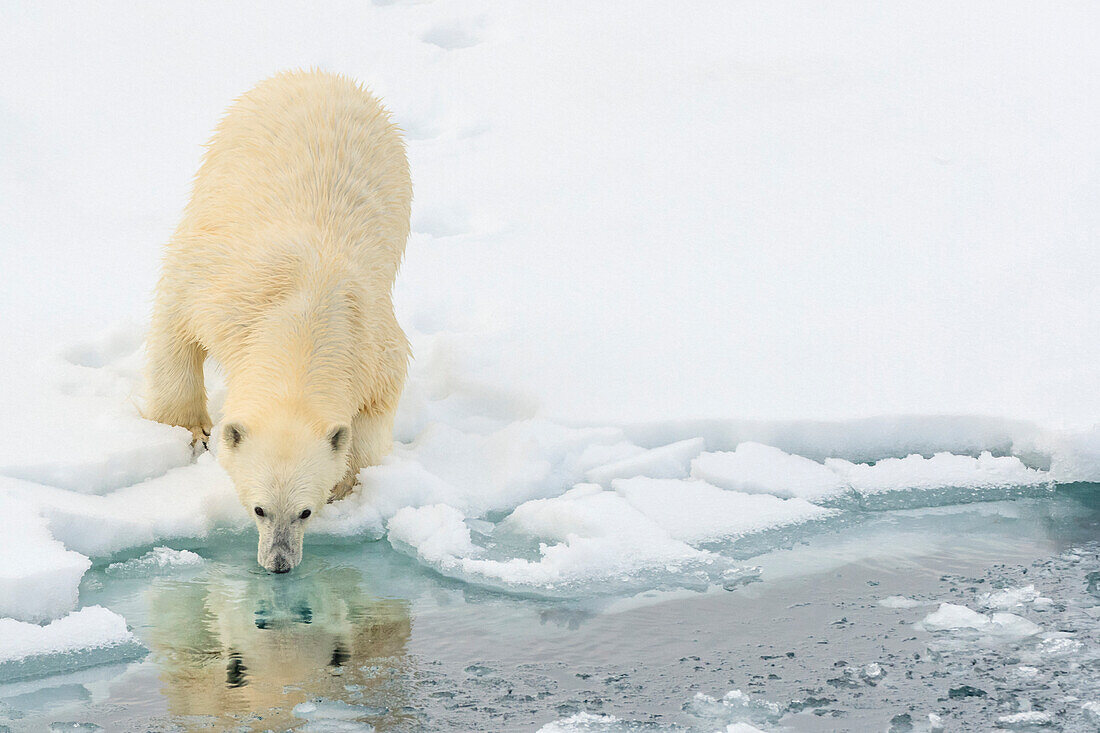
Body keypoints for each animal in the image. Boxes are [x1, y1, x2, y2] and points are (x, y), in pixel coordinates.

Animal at [146, 69, 413, 572]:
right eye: (258, 509)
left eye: (305, 511)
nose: (279, 564)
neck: (306, 316)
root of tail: (323, 76)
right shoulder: (223, 292)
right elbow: (176, 324)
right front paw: (190, 431)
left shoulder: (372, 343)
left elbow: (373, 418)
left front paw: (348, 483)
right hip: (226, 150)